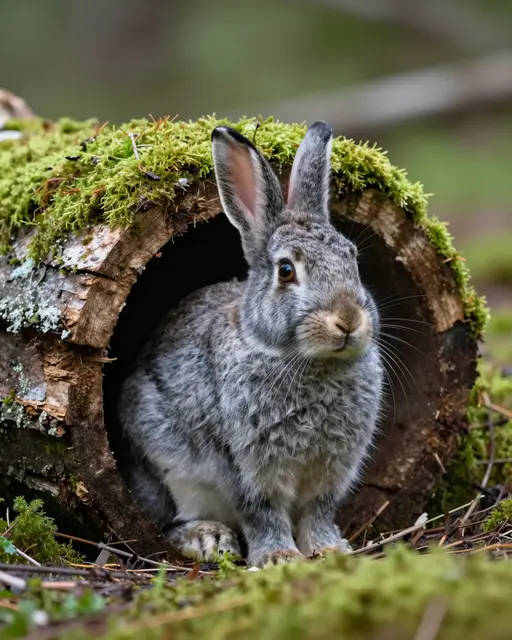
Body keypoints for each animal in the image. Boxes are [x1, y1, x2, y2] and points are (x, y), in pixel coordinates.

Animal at [118, 121, 384, 567]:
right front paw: (279, 558)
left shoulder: (333, 469)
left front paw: (331, 550)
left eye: (354, 260)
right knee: (168, 522)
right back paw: (209, 539)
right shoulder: (247, 465)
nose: (348, 319)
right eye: (286, 270)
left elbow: (319, 511)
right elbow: (262, 512)